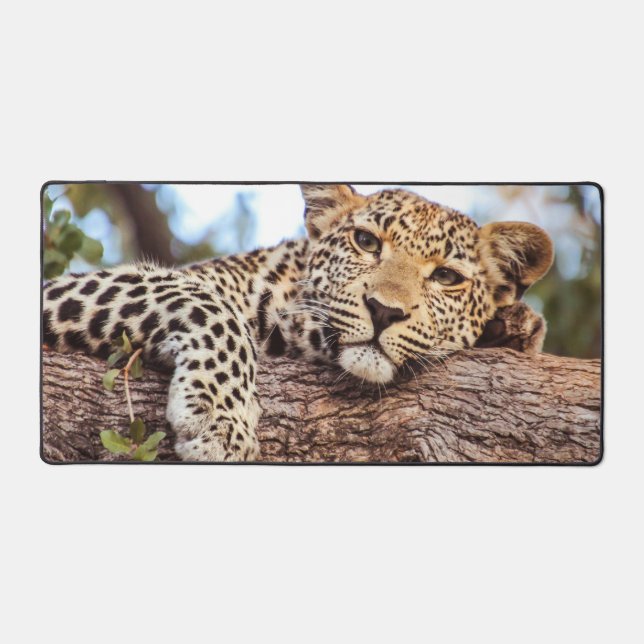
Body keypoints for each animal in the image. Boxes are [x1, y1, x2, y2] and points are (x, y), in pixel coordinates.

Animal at [42, 184, 554, 462]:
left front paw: (514, 325)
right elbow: (206, 303)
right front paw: (221, 422)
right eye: (366, 242)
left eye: (447, 277)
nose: (384, 310)